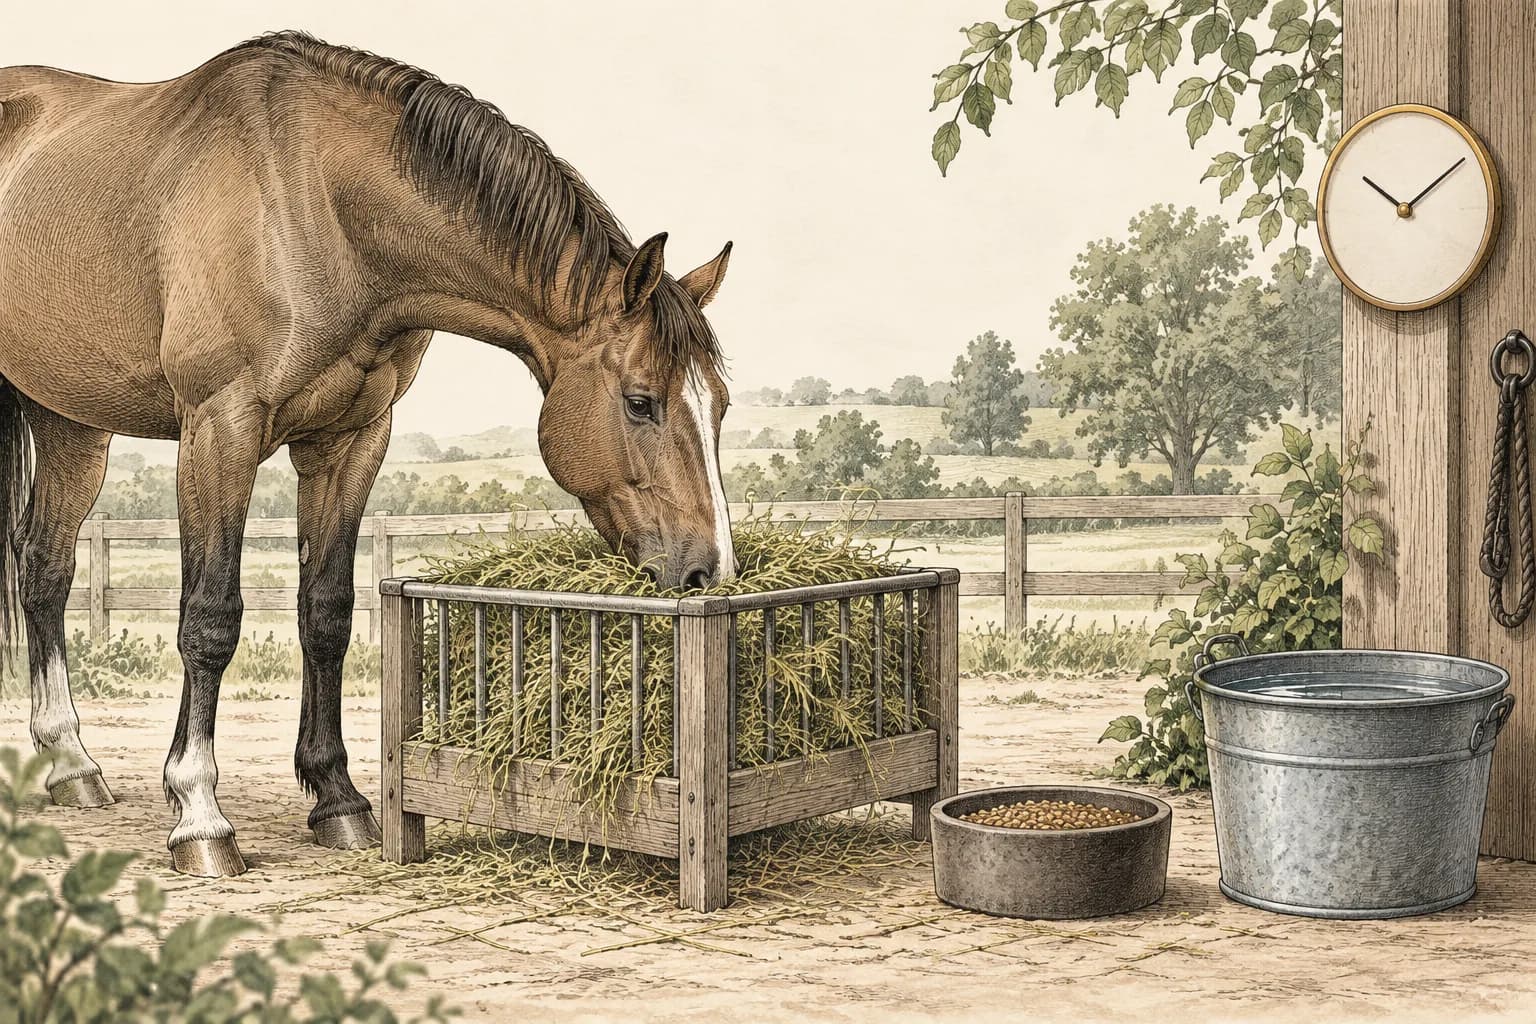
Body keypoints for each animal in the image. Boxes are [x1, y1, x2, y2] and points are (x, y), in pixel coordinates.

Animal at [0, 31, 737, 876]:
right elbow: (209, 619)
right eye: (641, 400)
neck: (312, 205)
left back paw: (71, 766)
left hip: (68, 422)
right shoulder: (221, 429)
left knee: (46, 571)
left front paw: (338, 799)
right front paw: (199, 815)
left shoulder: (351, 440)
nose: (709, 571)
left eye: (719, 404)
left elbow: (327, 612)